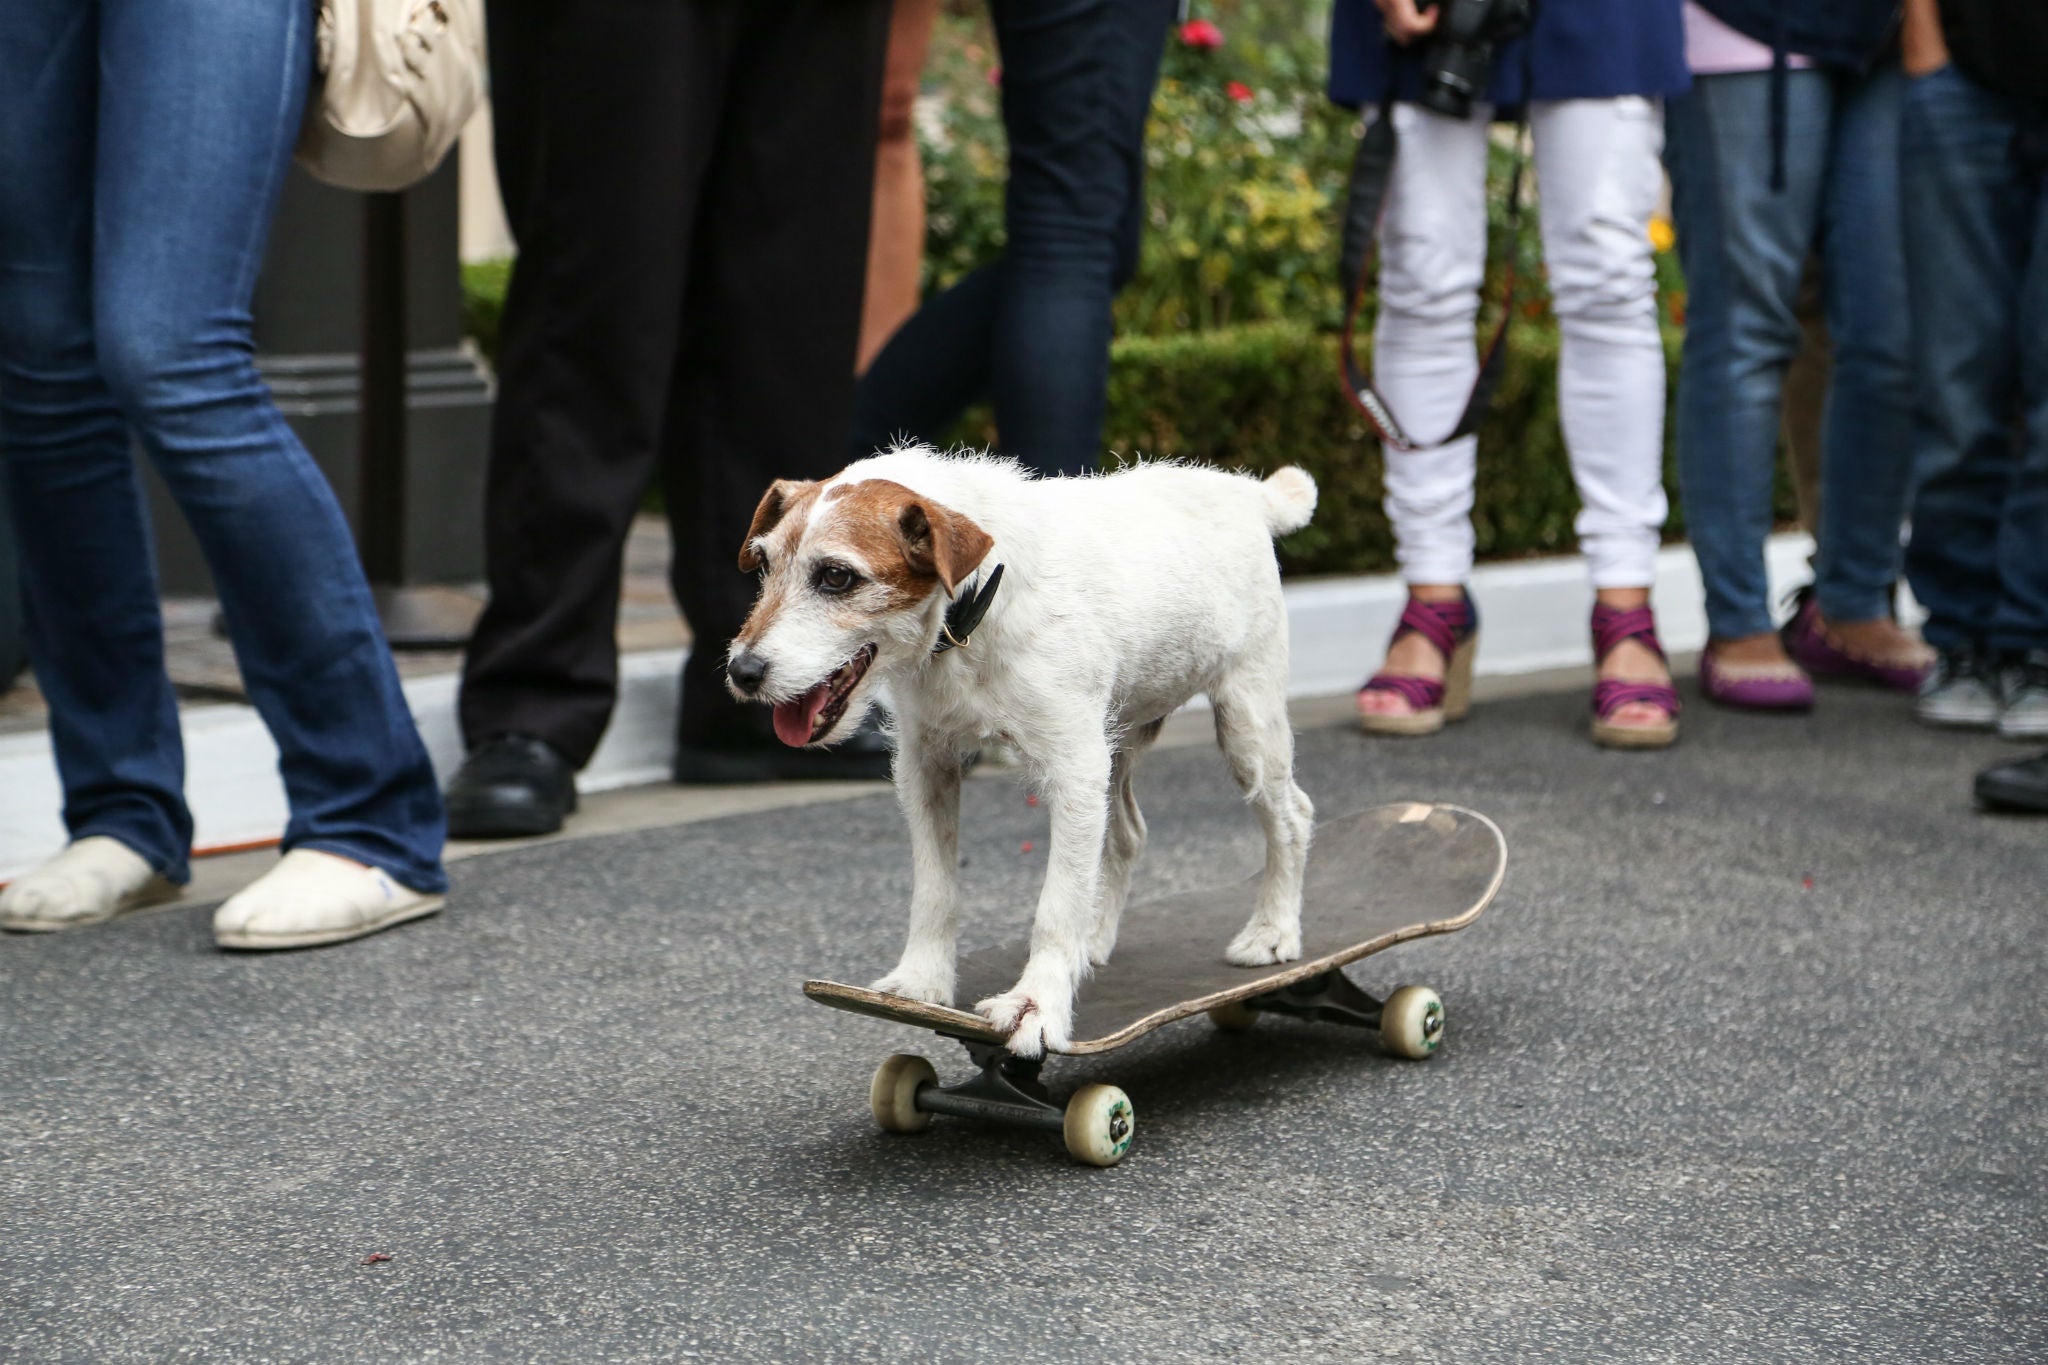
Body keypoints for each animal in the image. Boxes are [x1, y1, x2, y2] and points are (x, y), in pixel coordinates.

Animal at [729, 446, 1318, 1055]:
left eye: (836, 576)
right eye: (764, 564)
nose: (741, 672)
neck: (971, 608)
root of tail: (1247, 492)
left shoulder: (1074, 770)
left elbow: (1056, 904)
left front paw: (1036, 1005)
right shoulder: (926, 766)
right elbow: (935, 887)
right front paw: (922, 980)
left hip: (1247, 724)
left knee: (1291, 816)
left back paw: (1273, 932)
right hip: (1117, 739)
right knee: (1127, 834)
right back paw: (1094, 940)